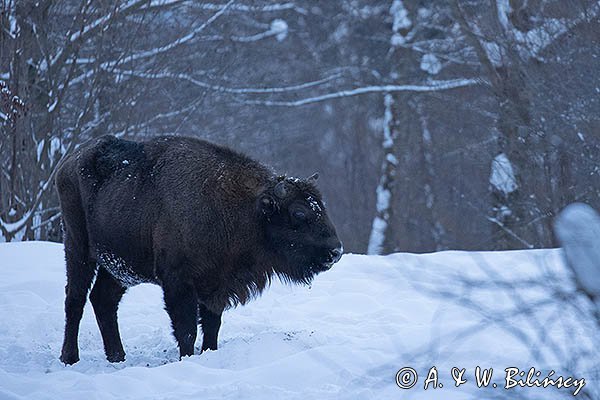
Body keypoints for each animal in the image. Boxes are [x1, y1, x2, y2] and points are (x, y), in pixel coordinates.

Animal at [59, 135, 344, 366]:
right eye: (299, 213)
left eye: (321, 206)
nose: (336, 251)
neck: (245, 210)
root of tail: (68, 162)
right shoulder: (179, 283)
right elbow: (187, 329)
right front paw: (187, 358)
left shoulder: (217, 286)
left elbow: (211, 325)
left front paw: (209, 352)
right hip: (77, 248)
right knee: (76, 299)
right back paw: (70, 358)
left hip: (119, 266)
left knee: (103, 300)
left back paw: (117, 357)